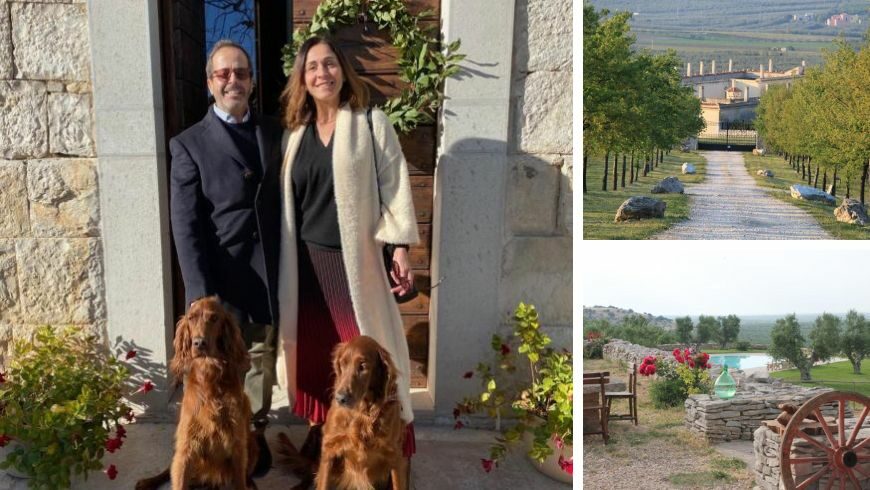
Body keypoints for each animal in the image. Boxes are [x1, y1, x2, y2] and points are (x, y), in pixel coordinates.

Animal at [136, 296, 258, 488]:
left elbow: (240, 482)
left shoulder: (238, 447)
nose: (199, 343)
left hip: (252, 444)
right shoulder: (185, 449)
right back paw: (147, 482)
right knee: (168, 470)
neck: (209, 377)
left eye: (214, 318)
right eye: (191, 318)